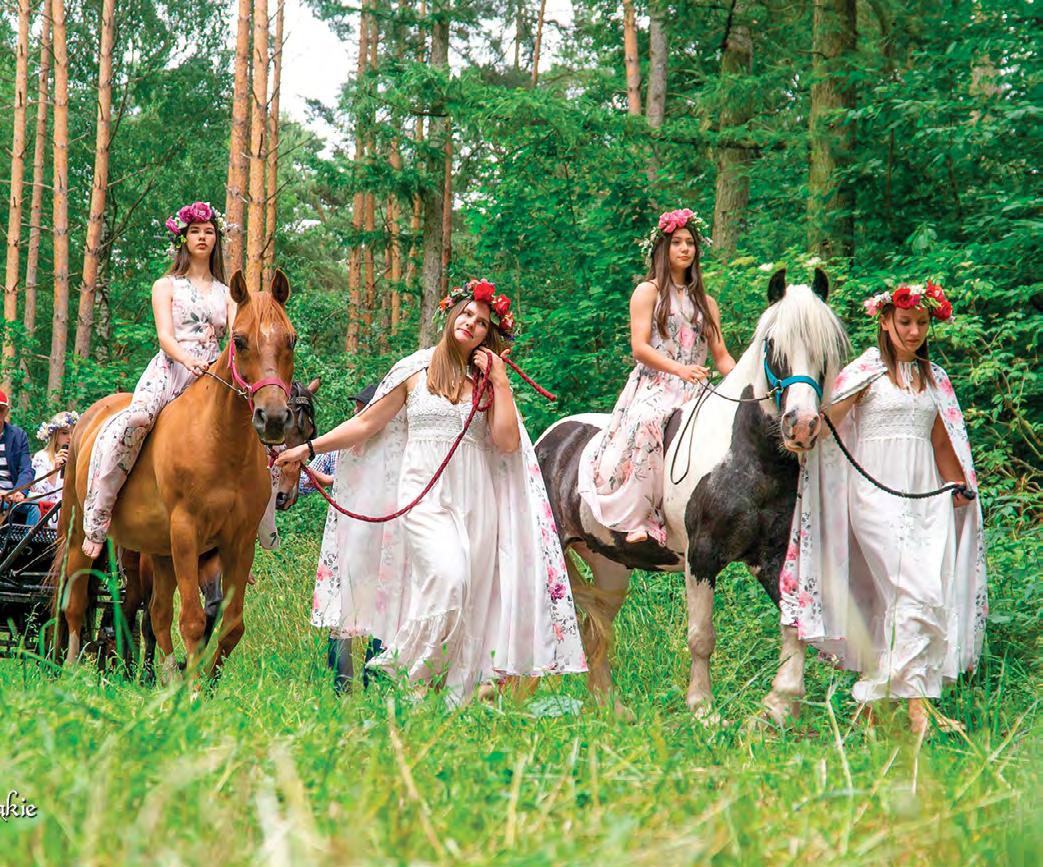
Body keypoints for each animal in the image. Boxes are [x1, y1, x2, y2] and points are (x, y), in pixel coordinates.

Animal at [51, 269, 298, 682]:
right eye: (239, 340)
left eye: (291, 339)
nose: (274, 418)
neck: (219, 442)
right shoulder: (187, 532)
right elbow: (194, 622)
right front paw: (194, 686)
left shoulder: (238, 542)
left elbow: (230, 625)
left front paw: (206, 682)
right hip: (78, 536)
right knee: (74, 601)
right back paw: (70, 668)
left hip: (158, 552)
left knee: (156, 614)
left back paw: (164, 675)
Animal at [535, 269, 849, 723]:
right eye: (773, 345)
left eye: (828, 347)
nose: (802, 425)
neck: (746, 456)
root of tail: (547, 439)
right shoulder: (702, 557)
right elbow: (702, 636)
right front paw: (702, 708)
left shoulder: (774, 557)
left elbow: (794, 624)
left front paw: (777, 706)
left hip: (609, 567)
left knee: (598, 629)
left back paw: (611, 708)